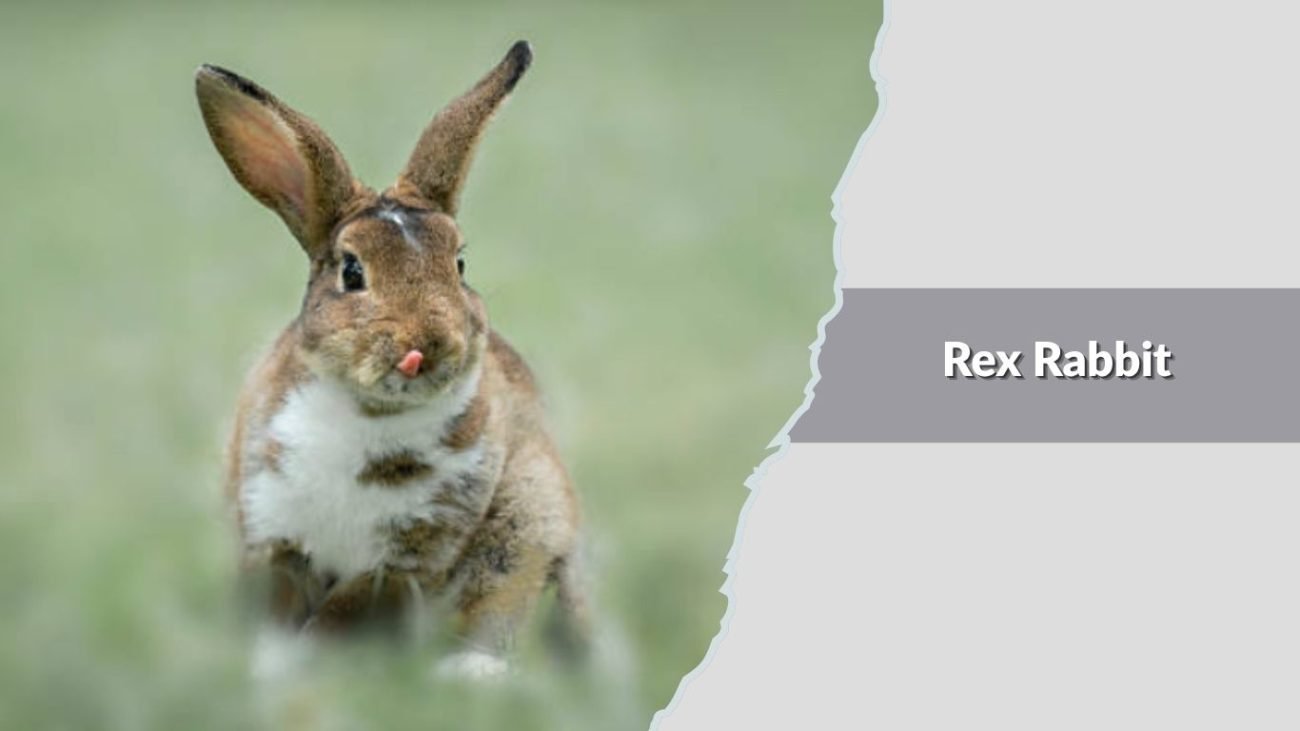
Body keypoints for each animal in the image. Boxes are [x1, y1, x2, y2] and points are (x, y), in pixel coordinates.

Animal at [196, 41, 588, 678]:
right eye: (352, 271)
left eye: (459, 265)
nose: (431, 342)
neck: (369, 412)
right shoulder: (272, 534)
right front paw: (272, 669)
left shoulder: (408, 557)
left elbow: (342, 614)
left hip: (529, 520)